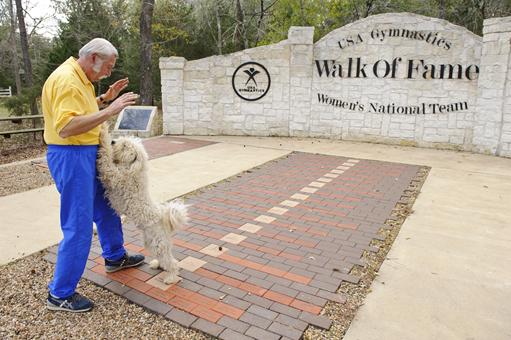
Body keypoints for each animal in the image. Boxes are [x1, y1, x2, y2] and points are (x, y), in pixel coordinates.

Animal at [97, 125, 187, 284]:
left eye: (125, 146)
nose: (113, 141)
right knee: (165, 258)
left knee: (172, 262)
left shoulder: (115, 177)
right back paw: (157, 264)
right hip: (151, 242)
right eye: (121, 141)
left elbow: (106, 161)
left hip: (158, 243)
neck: (131, 167)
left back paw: (171, 277)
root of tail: (163, 217)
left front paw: (103, 135)